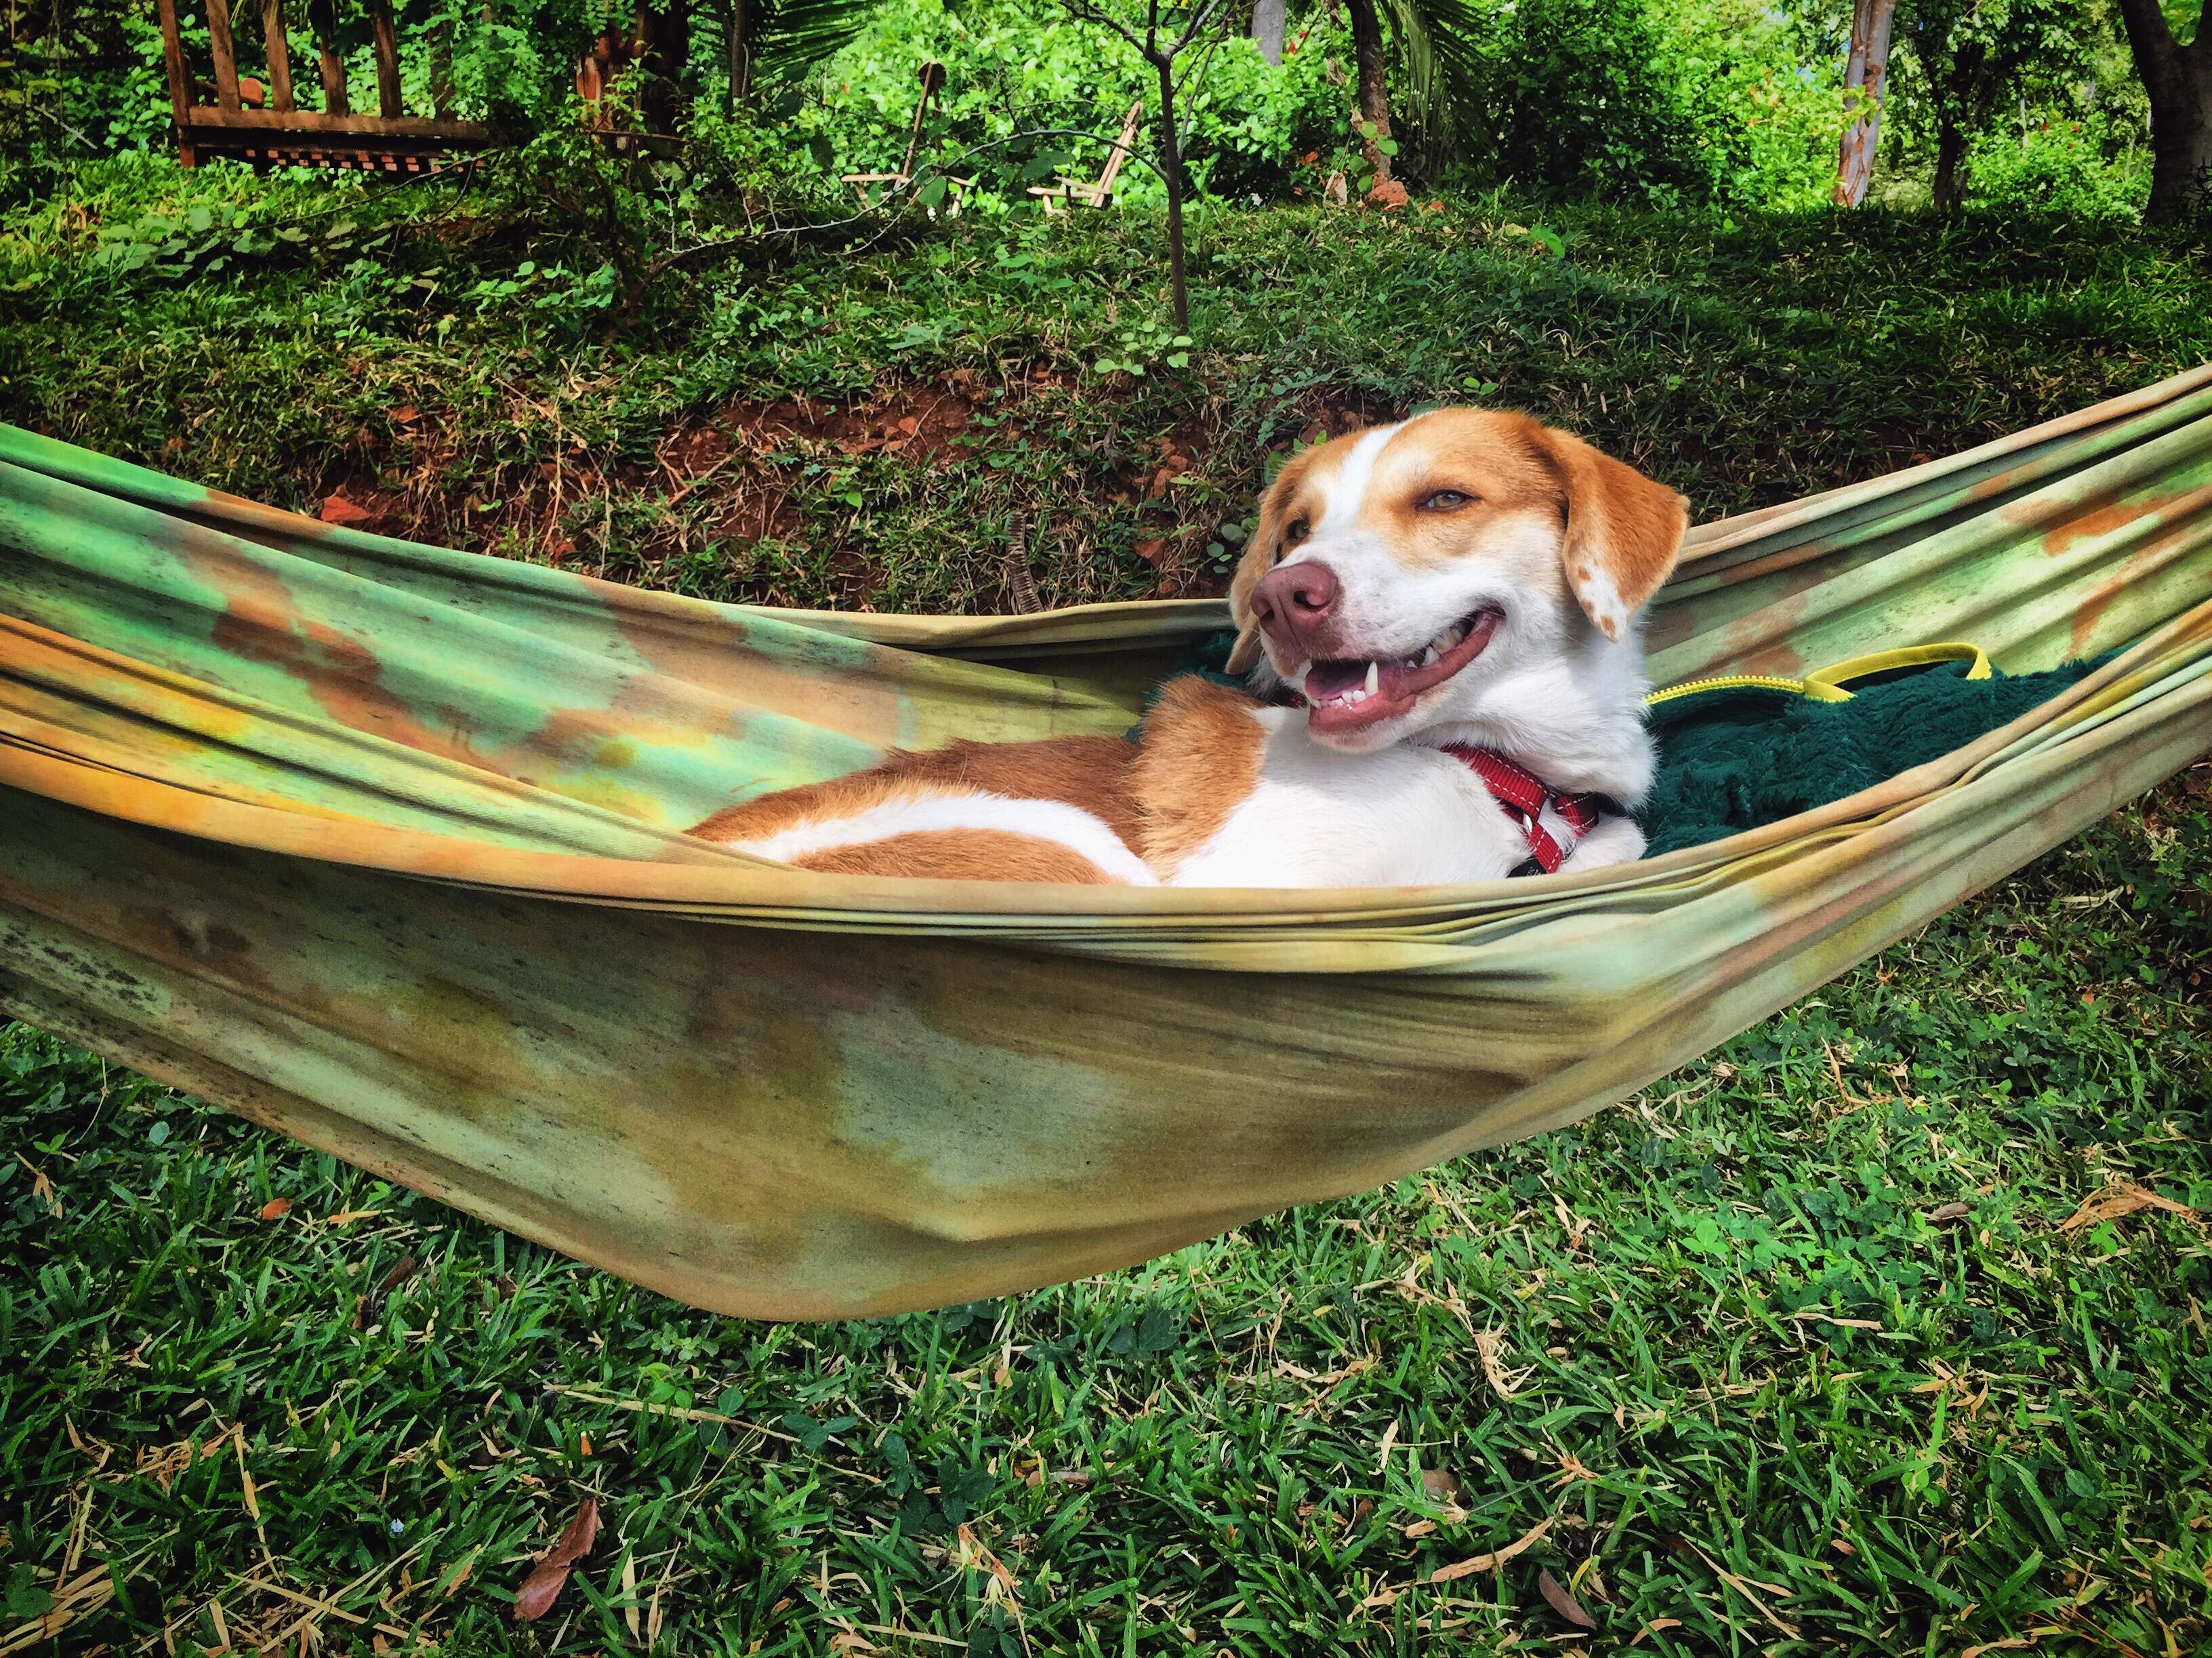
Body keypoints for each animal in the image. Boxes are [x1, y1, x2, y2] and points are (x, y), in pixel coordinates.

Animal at [694, 407, 1689, 885]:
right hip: (1070, 853)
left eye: (1446, 498)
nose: (1283, 598)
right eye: (1297, 529)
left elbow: (1620, 840)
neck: (1491, 771)